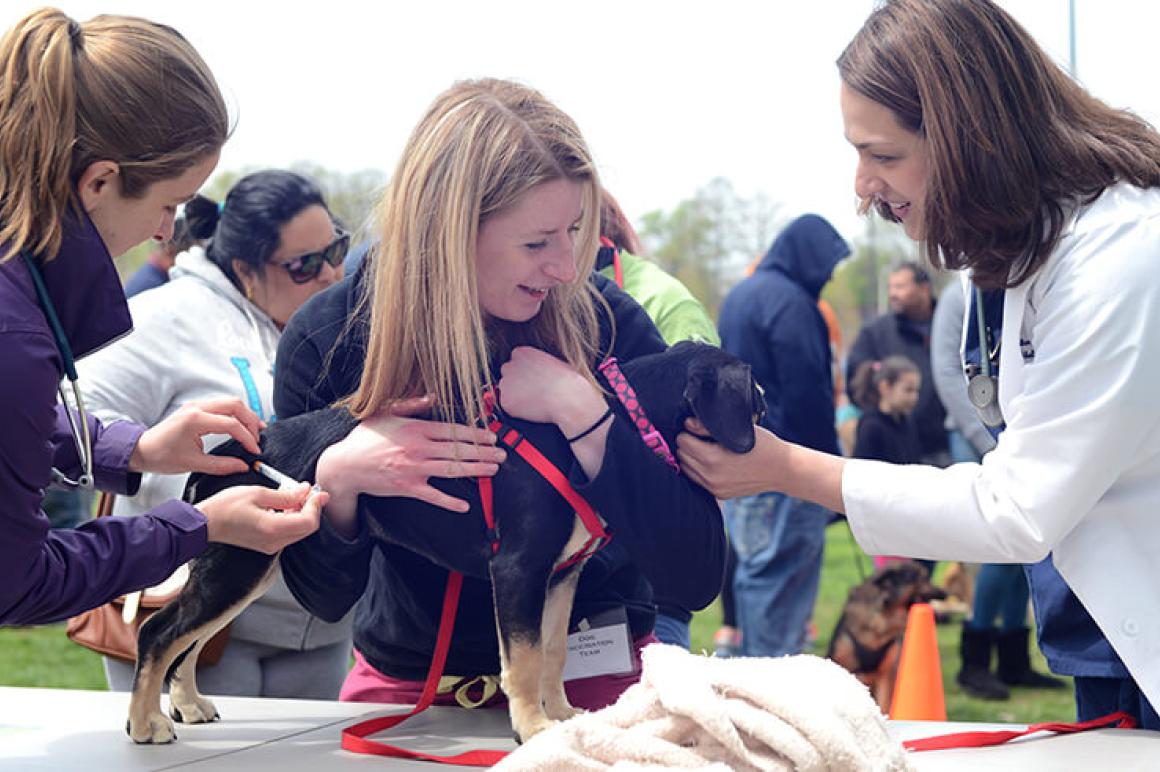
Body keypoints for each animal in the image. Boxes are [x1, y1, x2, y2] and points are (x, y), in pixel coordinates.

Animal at [127, 340, 765, 741]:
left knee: (188, 637)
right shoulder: (518, 568)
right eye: (756, 398)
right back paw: (146, 725)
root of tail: (235, 446)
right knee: (160, 631)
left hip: (253, 560)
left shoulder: (561, 575)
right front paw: (532, 728)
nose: (768, 441)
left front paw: (564, 715)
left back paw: (187, 704)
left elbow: (554, 652)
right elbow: (524, 658)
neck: (603, 427)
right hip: (238, 562)